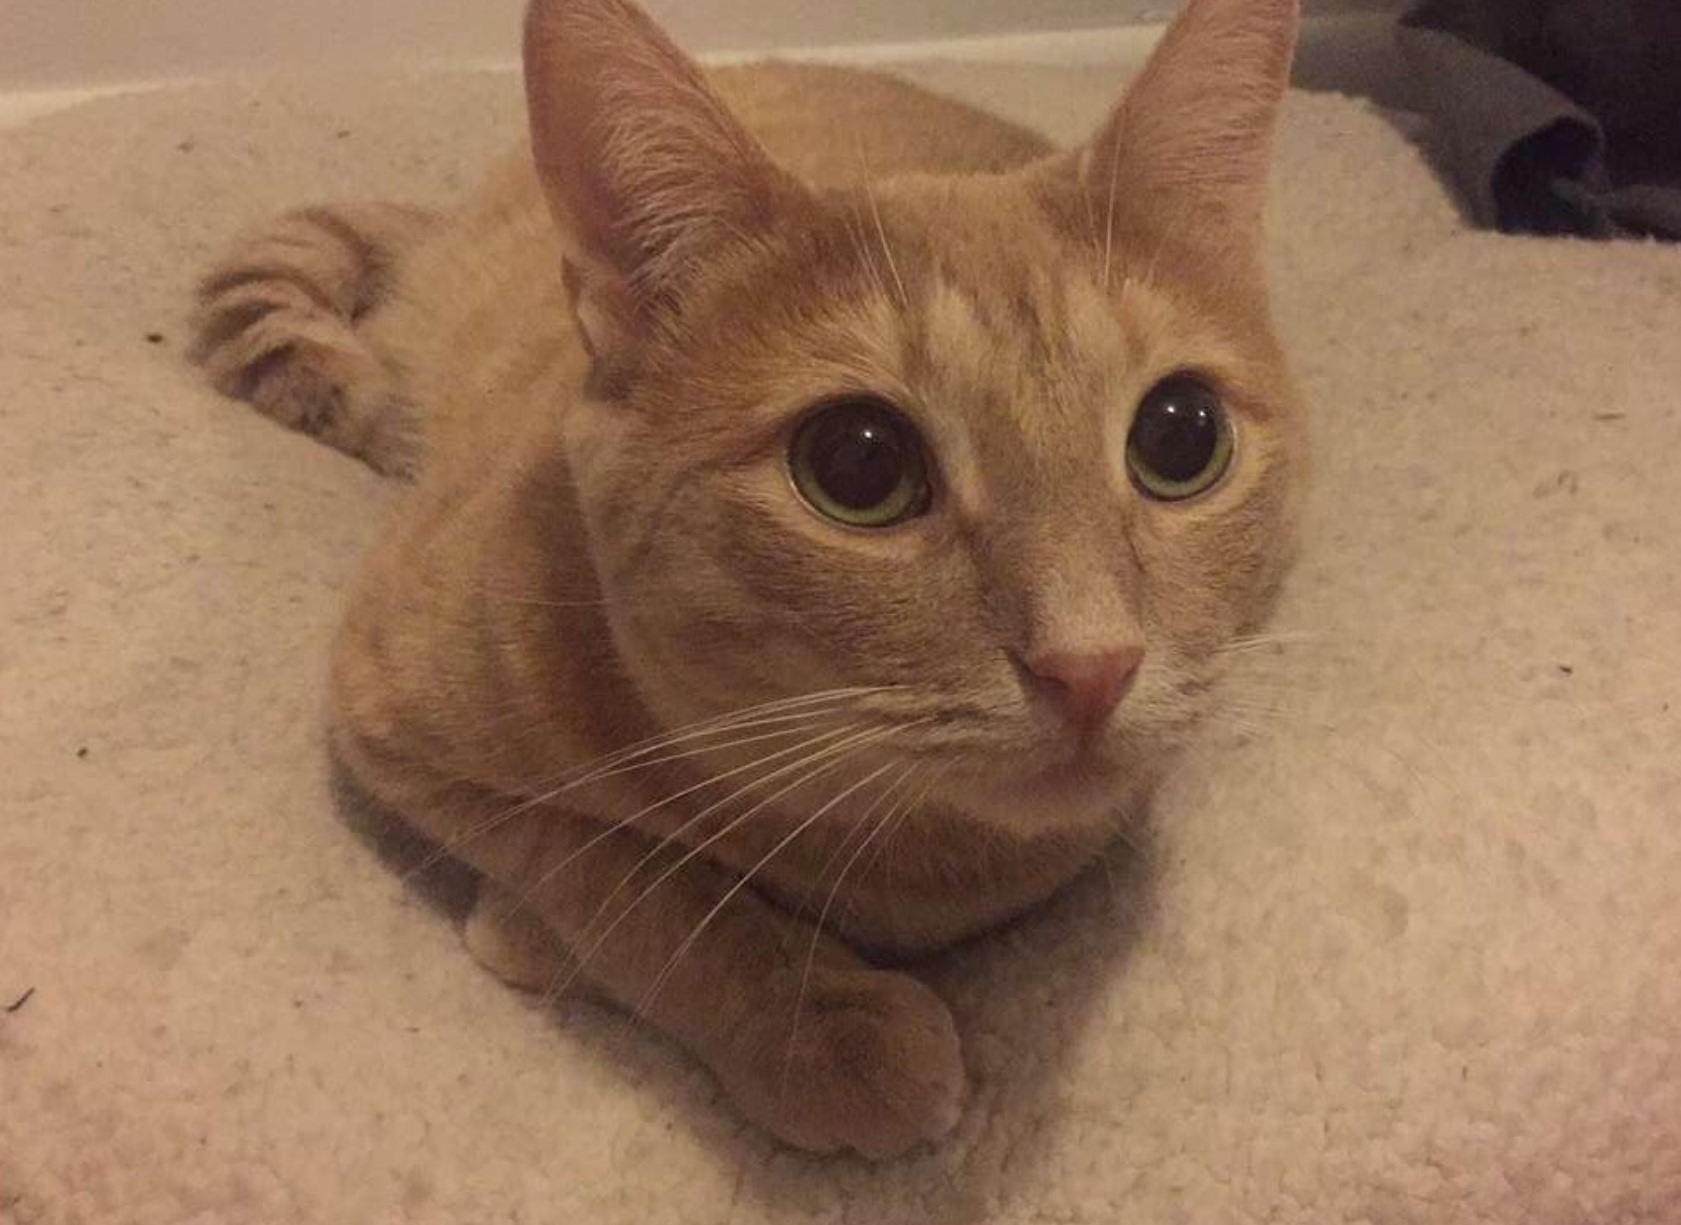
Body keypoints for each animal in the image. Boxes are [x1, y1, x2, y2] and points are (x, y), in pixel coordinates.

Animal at [193, 0, 1305, 1158]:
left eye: (1181, 436)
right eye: (857, 464)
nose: (1093, 666)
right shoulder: (384, 713)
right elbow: (631, 881)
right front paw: (818, 1027)